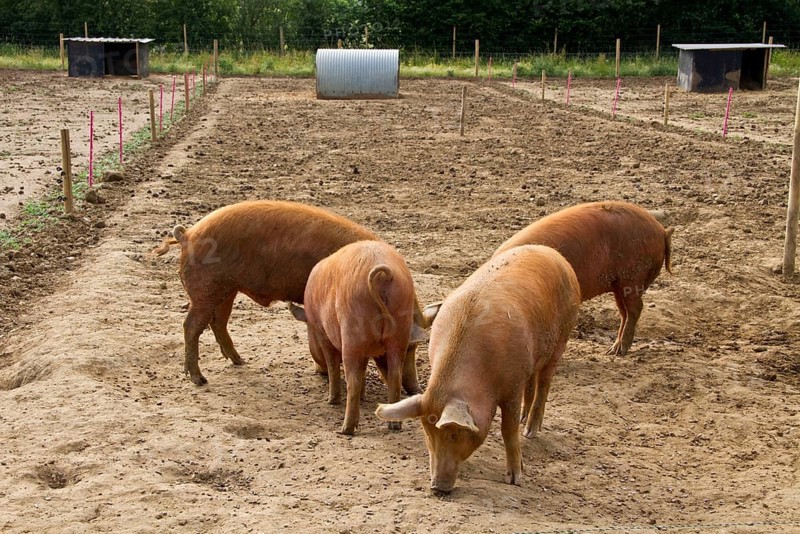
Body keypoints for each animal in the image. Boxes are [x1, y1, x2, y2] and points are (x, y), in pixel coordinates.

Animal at [153, 200, 427, 388]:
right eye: (409, 348)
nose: (414, 389)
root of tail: (187, 234)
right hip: (206, 289)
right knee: (191, 325)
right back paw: (199, 379)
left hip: (226, 289)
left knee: (218, 322)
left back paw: (240, 361)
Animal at [289, 240, 417, 435]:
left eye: (308, 332)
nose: (318, 371)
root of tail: (382, 276)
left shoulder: (322, 333)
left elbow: (333, 364)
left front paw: (331, 400)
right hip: (400, 328)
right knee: (395, 376)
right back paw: (394, 426)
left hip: (352, 332)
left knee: (353, 381)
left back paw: (345, 429)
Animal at [376, 245, 580, 493]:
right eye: (427, 431)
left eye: (455, 434)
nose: (438, 487)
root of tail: (551, 252)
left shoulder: (512, 386)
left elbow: (508, 430)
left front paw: (515, 479)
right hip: (534, 356)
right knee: (533, 381)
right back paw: (525, 421)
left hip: (563, 335)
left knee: (545, 382)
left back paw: (530, 431)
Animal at [493, 200, 672, 357]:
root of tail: (661, 231)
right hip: (618, 283)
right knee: (624, 312)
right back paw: (610, 350)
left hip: (632, 276)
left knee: (635, 308)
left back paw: (618, 351)